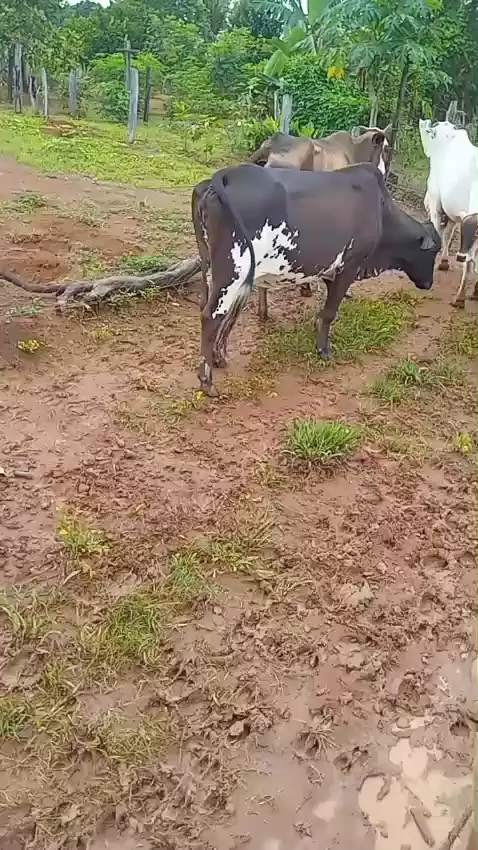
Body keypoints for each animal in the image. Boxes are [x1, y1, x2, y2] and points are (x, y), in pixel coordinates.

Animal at [192, 162, 440, 395]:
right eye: (433, 252)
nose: (429, 284)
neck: (381, 210)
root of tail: (228, 175)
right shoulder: (348, 267)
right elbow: (330, 313)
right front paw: (324, 350)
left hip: (213, 267)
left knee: (213, 309)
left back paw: (217, 361)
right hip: (233, 271)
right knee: (211, 316)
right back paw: (207, 381)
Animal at [419, 119, 477, 307]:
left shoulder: (436, 204)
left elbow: (439, 232)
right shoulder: (455, 214)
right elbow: (448, 234)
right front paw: (444, 262)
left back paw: (460, 298)